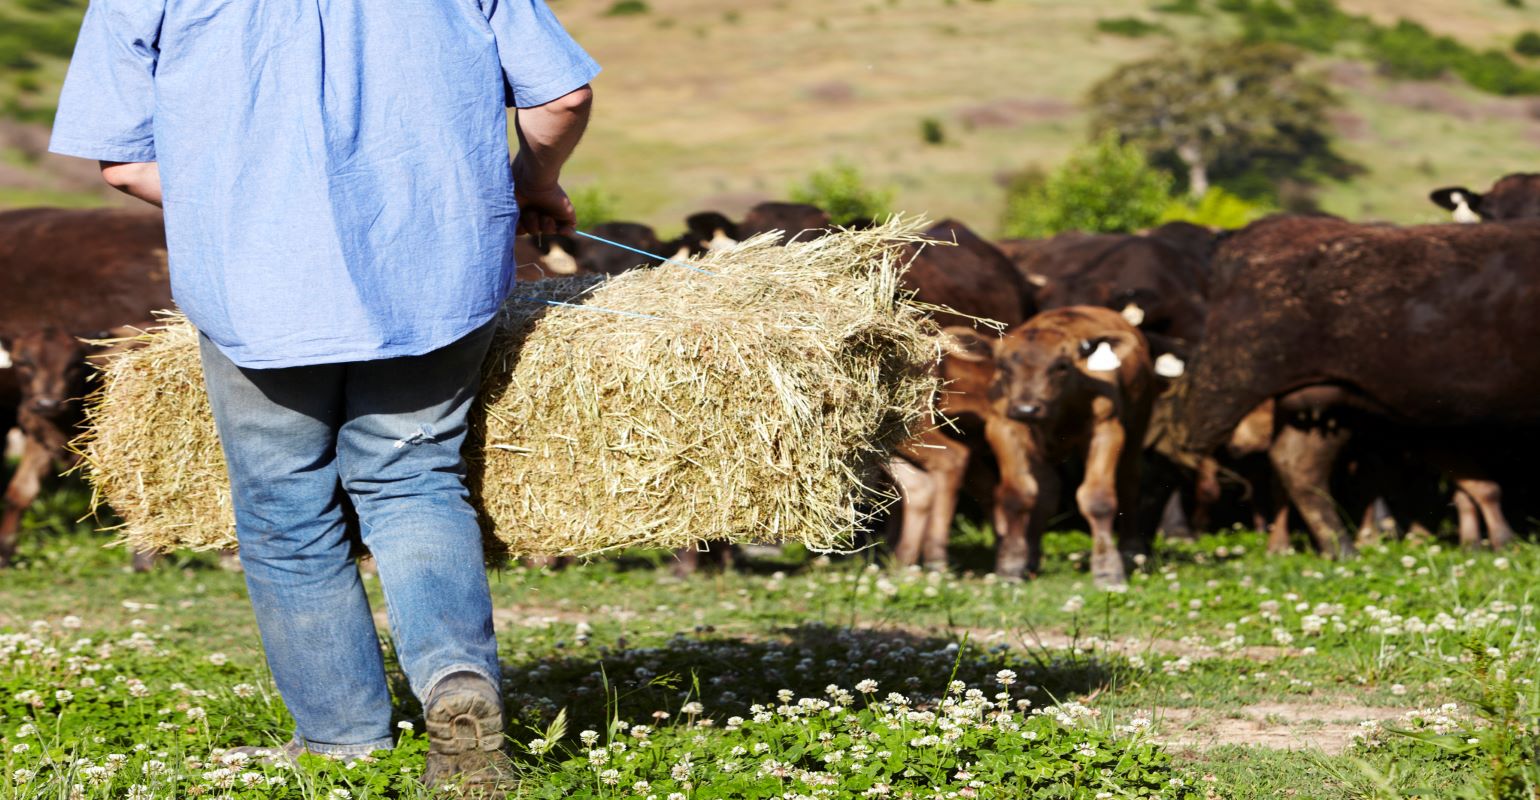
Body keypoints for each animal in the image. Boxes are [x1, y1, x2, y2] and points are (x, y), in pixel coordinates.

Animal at [948, 303, 1158, 585]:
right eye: (1002, 365)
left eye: (1061, 366)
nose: (1026, 408)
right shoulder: (1004, 425)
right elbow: (1018, 494)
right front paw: (1011, 565)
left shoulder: (1106, 429)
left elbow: (1098, 498)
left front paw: (1107, 568)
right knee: (1047, 489)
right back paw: (1031, 556)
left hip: (1137, 424)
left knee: (1128, 482)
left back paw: (1131, 550)